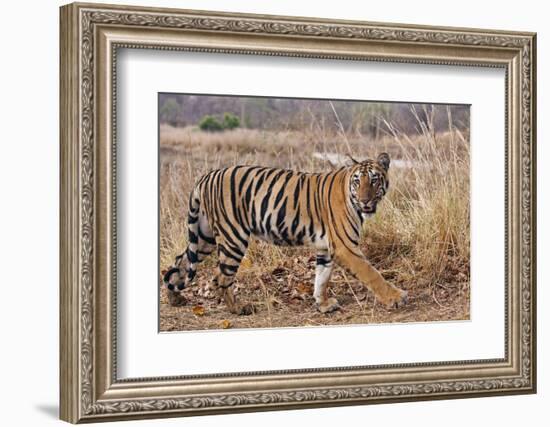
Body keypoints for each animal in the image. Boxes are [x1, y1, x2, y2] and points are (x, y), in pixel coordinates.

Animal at [162, 153, 408, 314]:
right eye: (358, 181)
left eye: (374, 180)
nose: (365, 200)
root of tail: (207, 176)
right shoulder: (345, 246)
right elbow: (372, 274)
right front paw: (396, 298)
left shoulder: (325, 247)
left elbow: (322, 277)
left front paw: (323, 304)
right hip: (233, 237)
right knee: (222, 276)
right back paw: (238, 308)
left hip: (205, 237)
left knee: (180, 261)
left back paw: (175, 298)